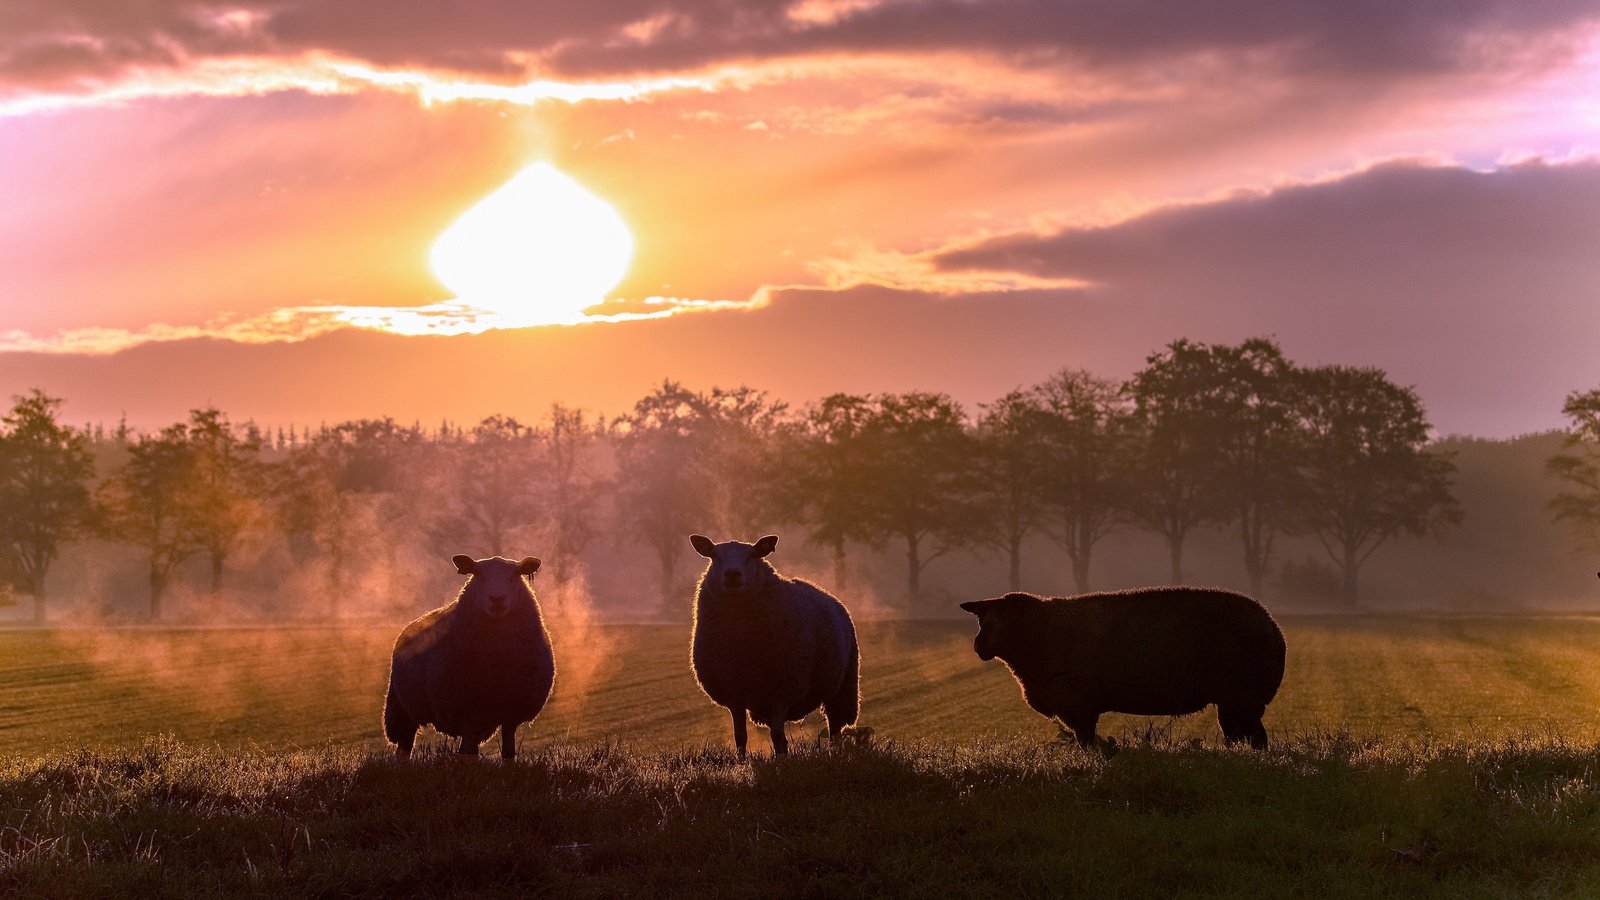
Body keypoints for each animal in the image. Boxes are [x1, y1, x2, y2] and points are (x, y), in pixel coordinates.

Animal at [380, 554, 556, 755]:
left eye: (515, 575)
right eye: (478, 575)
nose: (497, 599)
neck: (496, 662)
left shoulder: (511, 713)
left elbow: (508, 751)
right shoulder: (465, 712)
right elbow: (468, 752)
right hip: (401, 709)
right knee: (404, 746)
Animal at [691, 528, 864, 752]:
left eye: (752, 555)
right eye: (715, 556)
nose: (732, 574)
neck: (741, 645)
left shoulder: (781, 691)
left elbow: (777, 737)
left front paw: (781, 758)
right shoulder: (734, 693)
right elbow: (740, 737)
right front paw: (742, 759)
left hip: (843, 687)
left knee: (835, 729)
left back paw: (836, 753)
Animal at [960, 586, 1286, 746]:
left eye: (1000, 620)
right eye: (981, 620)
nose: (977, 646)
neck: (1038, 633)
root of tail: (1272, 626)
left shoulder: (1078, 705)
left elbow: (1087, 743)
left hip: (1241, 698)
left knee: (1254, 738)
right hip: (1237, 702)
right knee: (1243, 737)